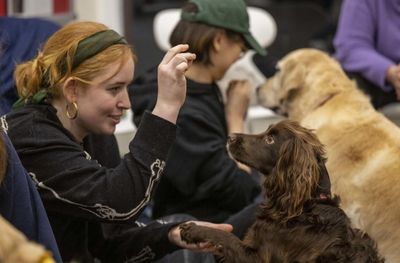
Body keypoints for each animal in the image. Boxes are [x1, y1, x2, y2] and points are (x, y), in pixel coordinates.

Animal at [180, 120, 382, 262]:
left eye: (270, 140)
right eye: (266, 132)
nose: (230, 137)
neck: (303, 206)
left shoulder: (256, 257)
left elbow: (226, 236)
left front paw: (194, 229)